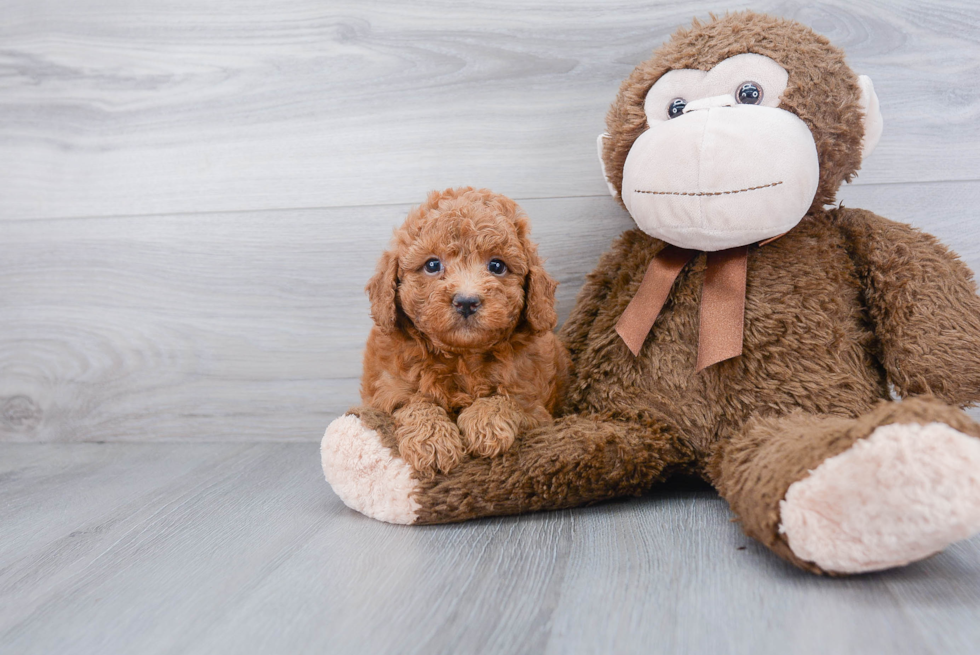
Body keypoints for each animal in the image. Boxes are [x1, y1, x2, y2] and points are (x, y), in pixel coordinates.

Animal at [364, 187, 572, 480]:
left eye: (497, 266)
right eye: (432, 265)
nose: (466, 301)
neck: (460, 357)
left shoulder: (535, 407)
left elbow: (505, 400)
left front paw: (485, 425)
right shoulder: (386, 391)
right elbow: (414, 402)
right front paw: (432, 442)